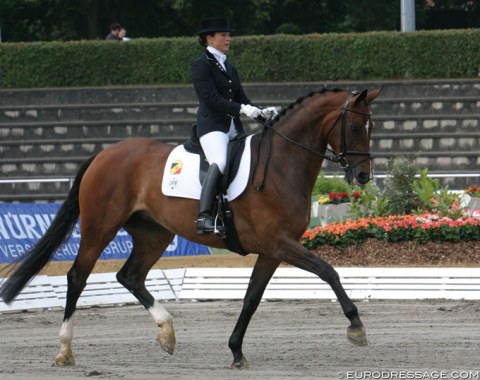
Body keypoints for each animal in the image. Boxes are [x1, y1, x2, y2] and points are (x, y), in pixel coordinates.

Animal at [1, 88, 380, 368]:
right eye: (355, 127)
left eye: (371, 127)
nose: (363, 175)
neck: (282, 165)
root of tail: (104, 154)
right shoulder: (280, 243)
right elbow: (328, 271)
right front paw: (357, 328)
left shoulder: (271, 250)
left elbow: (251, 298)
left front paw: (236, 351)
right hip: (100, 226)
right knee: (78, 276)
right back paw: (65, 351)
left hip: (154, 233)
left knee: (130, 276)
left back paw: (167, 333)